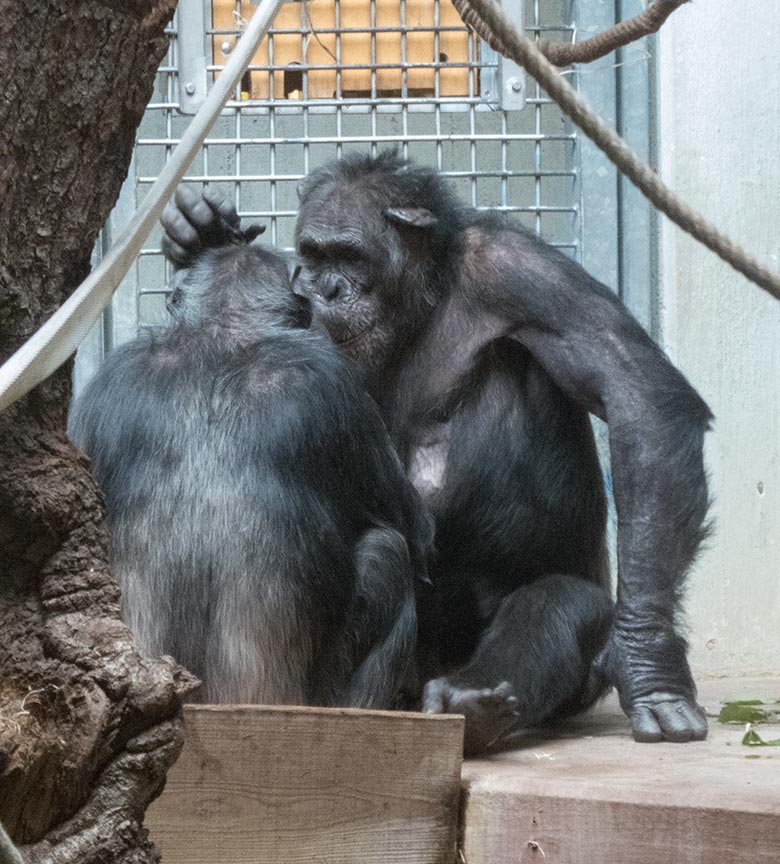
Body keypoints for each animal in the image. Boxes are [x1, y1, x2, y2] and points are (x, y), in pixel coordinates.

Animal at [161, 157, 708, 756]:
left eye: (350, 256)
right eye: (313, 253)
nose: (325, 288)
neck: (421, 302)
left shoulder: (521, 272)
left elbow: (632, 388)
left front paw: (647, 663)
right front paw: (198, 235)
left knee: (561, 600)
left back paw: (472, 698)